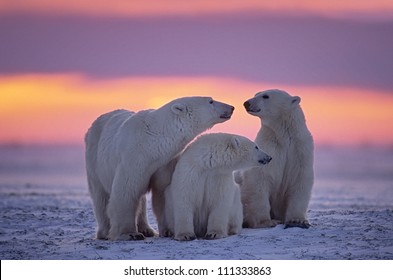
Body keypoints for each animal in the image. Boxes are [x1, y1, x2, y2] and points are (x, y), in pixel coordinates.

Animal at [85, 96, 233, 241]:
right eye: (211, 101)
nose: (231, 107)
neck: (152, 142)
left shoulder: (164, 162)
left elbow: (162, 191)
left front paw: (168, 231)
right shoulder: (133, 158)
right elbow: (126, 191)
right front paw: (129, 234)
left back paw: (147, 229)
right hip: (94, 160)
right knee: (101, 196)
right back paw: (105, 232)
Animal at [234, 91, 314, 229]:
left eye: (265, 96)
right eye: (256, 94)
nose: (246, 103)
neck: (284, 137)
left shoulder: (300, 150)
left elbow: (300, 180)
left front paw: (298, 220)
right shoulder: (269, 148)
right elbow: (260, 178)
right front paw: (267, 221)